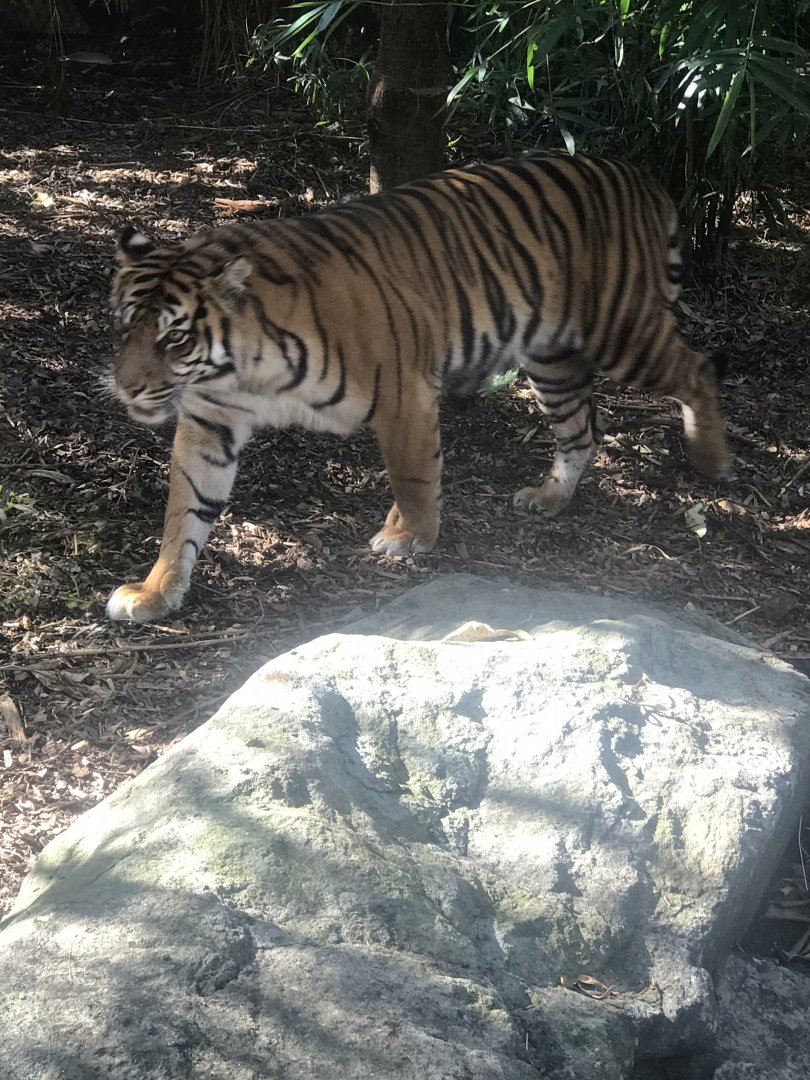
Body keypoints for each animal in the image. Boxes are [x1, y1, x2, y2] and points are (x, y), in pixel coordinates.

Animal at [106, 150, 730, 622]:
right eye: (123, 325)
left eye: (174, 338)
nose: (127, 389)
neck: (240, 366)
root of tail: (637, 173)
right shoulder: (211, 420)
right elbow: (185, 509)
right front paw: (155, 592)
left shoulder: (402, 395)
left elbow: (413, 476)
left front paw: (410, 536)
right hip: (551, 356)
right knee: (582, 430)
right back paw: (549, 498)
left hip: (623, 331)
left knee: (698, 369)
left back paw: (711, 460)